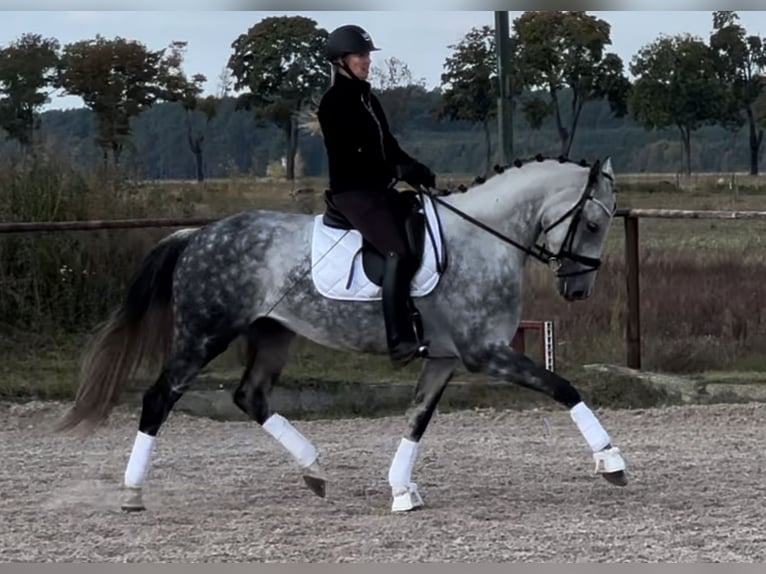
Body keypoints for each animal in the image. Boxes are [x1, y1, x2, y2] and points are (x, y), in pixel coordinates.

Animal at [55, 155, 627, 513]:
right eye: (594, 223)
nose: (578, 289)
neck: (483, 239)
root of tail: (198, 235)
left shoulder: (444, 357)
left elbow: (417, 418)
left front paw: (401, 491)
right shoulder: (485, 352)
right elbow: (563, 387)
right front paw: (611, 462)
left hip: (272, 334)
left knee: (250, 396)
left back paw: (313, 469)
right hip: (204, 335)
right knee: (159, 397)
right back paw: (132, 493)